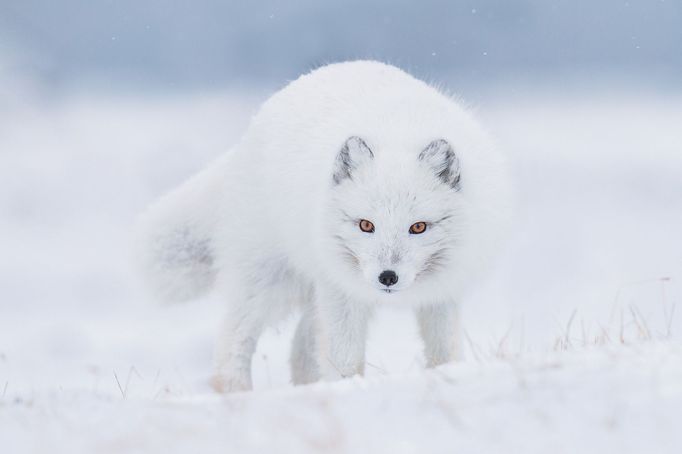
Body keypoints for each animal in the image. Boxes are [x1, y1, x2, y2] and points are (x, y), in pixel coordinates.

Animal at [135, 60, 508, 392]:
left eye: (418, 227)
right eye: (366, 225)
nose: (387, 277)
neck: (399, 131)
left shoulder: (444, 293)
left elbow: (444, 352)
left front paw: (447, 377)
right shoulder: (342, 292)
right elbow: (344, 360)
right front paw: (348, 391)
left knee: (302, 347)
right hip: (270, 282)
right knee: (234, 337)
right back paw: (237, 394)